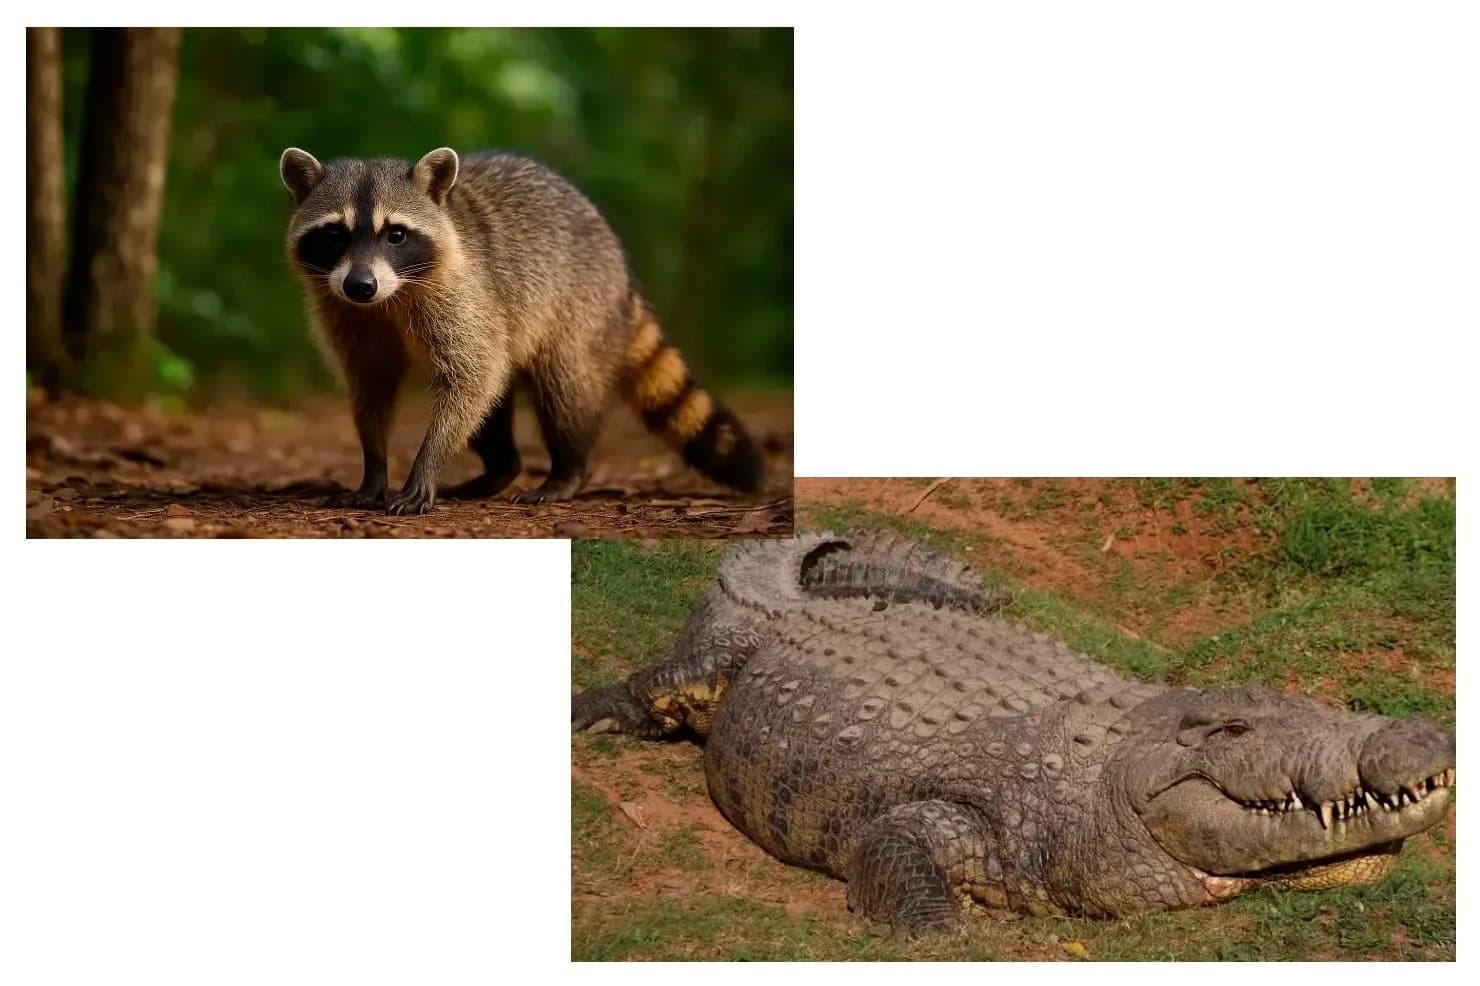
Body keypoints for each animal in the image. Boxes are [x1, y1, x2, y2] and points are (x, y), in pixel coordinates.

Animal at [278, 146, 764, 514]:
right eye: (335, 235)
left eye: (395, 234)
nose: (360, 285)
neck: (388, 299)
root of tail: (622, 271)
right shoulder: (345, 313)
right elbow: (372, 387)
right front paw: (374, 466)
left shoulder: (464, 295)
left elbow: (469, 377)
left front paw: (427, 464)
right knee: (491, 401)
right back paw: (500, 468)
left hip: (579, 309)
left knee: (560, 390)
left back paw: (567, 470)